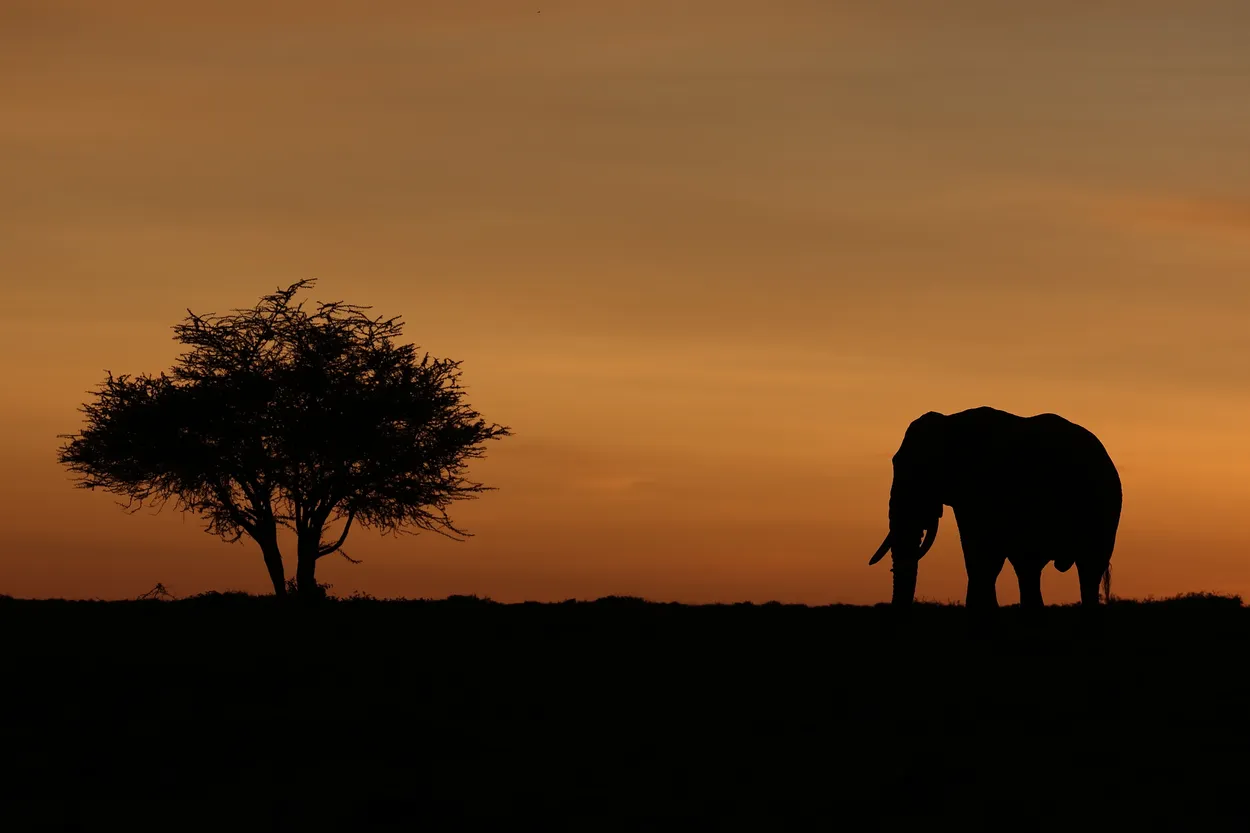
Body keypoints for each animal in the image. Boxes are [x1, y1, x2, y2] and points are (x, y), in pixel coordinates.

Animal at [868, 406, 1122, 613]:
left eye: (926, 471)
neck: (951, 423)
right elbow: (973, 549)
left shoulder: (991, 484)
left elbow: (987, 550)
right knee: (1028, 566)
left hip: (1104, 507)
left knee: (1089, 567)